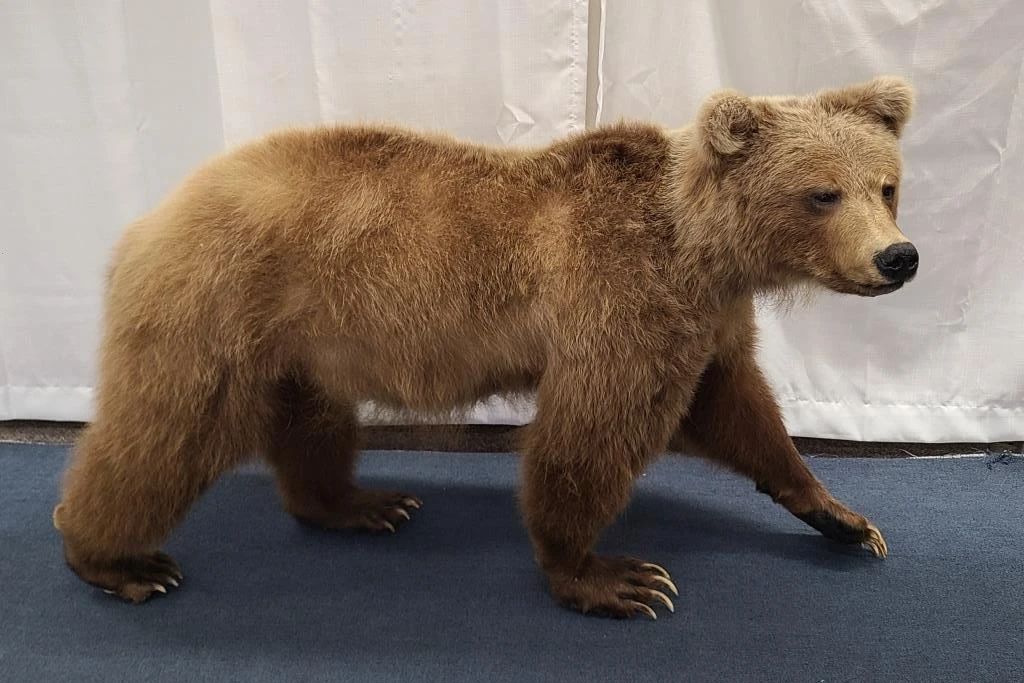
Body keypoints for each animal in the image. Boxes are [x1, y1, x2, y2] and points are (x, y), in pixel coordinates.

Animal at [54, 76, 916, 619]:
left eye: (887, 184)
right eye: (822, 192)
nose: (897, 257)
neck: (702, 247)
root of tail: (152, 217)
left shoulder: (708, 320)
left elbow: (741, 411)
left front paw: (843, 516)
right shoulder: (625, 300)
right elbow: (593, 431)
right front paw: (611, 575)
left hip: (299, 341)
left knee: (311, 424)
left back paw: (360, 503)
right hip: (218, 306)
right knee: (165, 432)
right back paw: (115, 558)